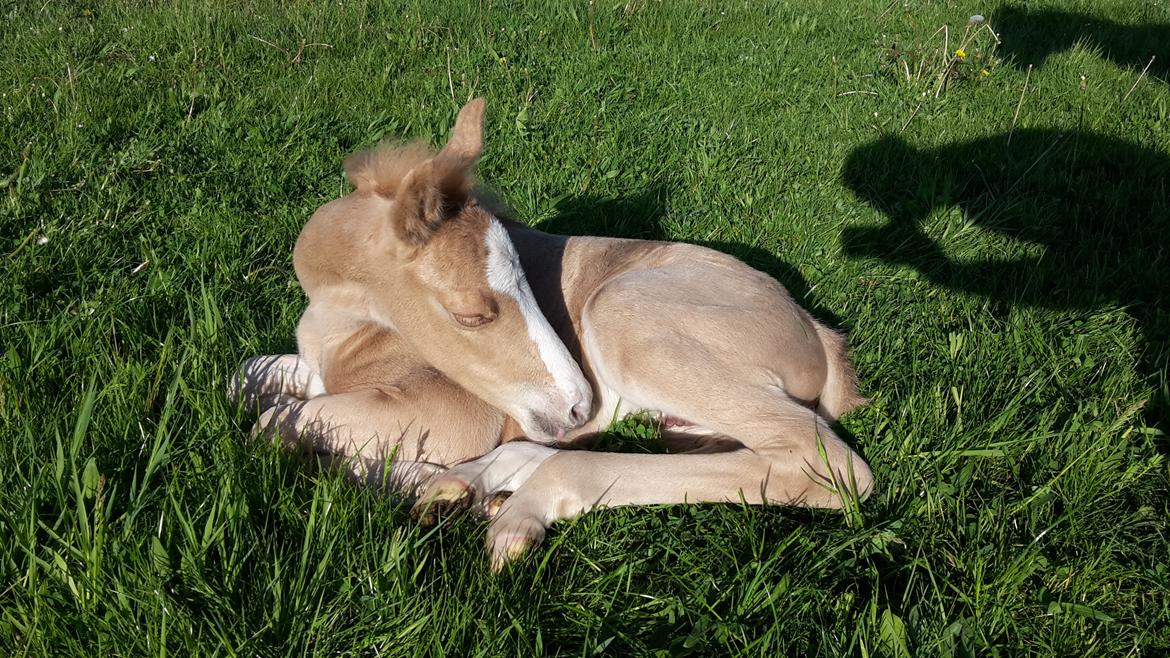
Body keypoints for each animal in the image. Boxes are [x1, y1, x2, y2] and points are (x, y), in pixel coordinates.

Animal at [230, 97, 870, 569]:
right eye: (472, 315)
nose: (579, 404)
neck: (337, 328)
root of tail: (815, 328)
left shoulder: (452, 409)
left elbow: (275, 423)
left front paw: (411, 480)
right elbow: (249, 379)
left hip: (626, 313)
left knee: (831, 465)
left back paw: (511, 504)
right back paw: (477, 485)